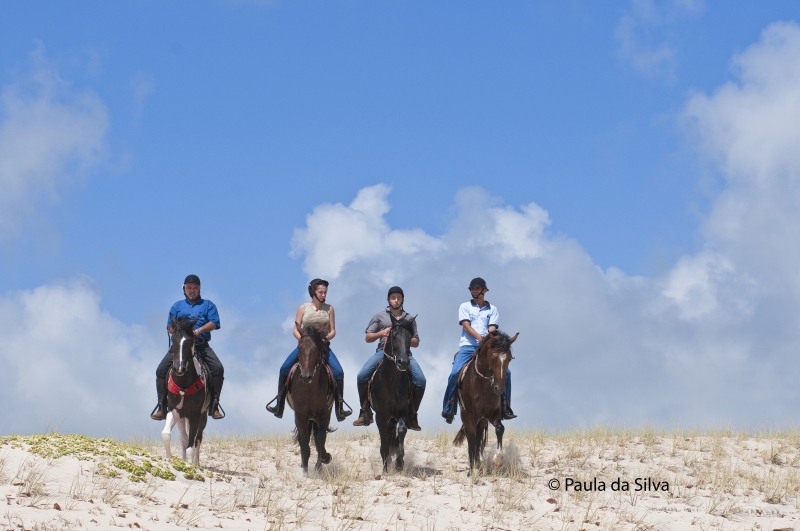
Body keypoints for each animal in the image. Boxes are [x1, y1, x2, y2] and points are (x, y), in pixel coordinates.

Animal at [159, 316, 208, 466]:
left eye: (190, 341)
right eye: (173, 339)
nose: (179, 369)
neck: (183, 385)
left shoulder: (196, 414)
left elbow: (192, 445)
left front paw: (192, 465)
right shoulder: (174, 409)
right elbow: (166, 434)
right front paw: (170, 459)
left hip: (203, 417)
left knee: (198, 439)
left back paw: (196, 463)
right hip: (182, 417)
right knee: (184, 438)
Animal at [286, 326, 332, 476]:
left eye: (315, 349)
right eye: (299, 348)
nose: (306, 376)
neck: (309, 388)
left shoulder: (324, 413)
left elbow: (320, 437)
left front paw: (324, 459)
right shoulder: (301, 415)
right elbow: (304, 440)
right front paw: (305, 471)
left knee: (317, 438)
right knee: (303, 439)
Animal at [370, 314, 418, 472]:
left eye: (409, 336)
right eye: (394, 335)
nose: (403, 362)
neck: (391, 382)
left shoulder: (403, 410)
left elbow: (401, 431)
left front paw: (399, 462)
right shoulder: (380, 414)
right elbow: (384, 441)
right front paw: (385, 469)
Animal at [450, 332, 520, 474]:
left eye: (509, 358)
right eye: (493, 358)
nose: (499, 389)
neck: (482, 383)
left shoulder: (492, 414)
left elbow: (499, 429)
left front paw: (497, 460)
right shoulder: (469, 415)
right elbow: (471, 438)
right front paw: (471, 470)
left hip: (482, 420)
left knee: (479, 436)